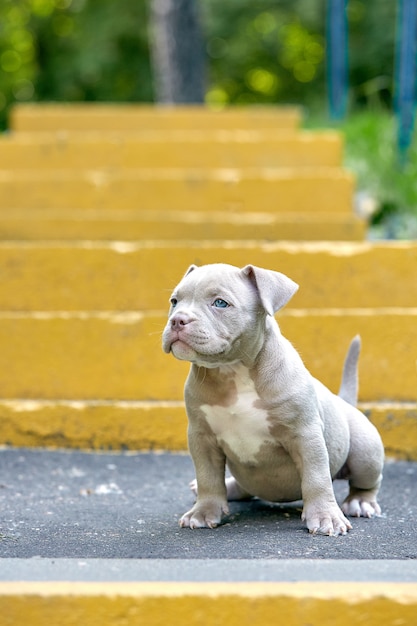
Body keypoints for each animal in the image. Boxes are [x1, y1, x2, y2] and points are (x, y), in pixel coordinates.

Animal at [161, 260, 382, 532]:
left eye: (220, 303)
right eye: (174, 301)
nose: (177, 320)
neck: (232, 372)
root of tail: (343, 402)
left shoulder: (305, 433)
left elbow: (316, 477)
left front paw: (325, 517)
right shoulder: (202, 437)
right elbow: (208, 477)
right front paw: (203, 512)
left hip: (365, 451)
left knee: (366, 481)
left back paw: (360, 502)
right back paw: (230, 487)